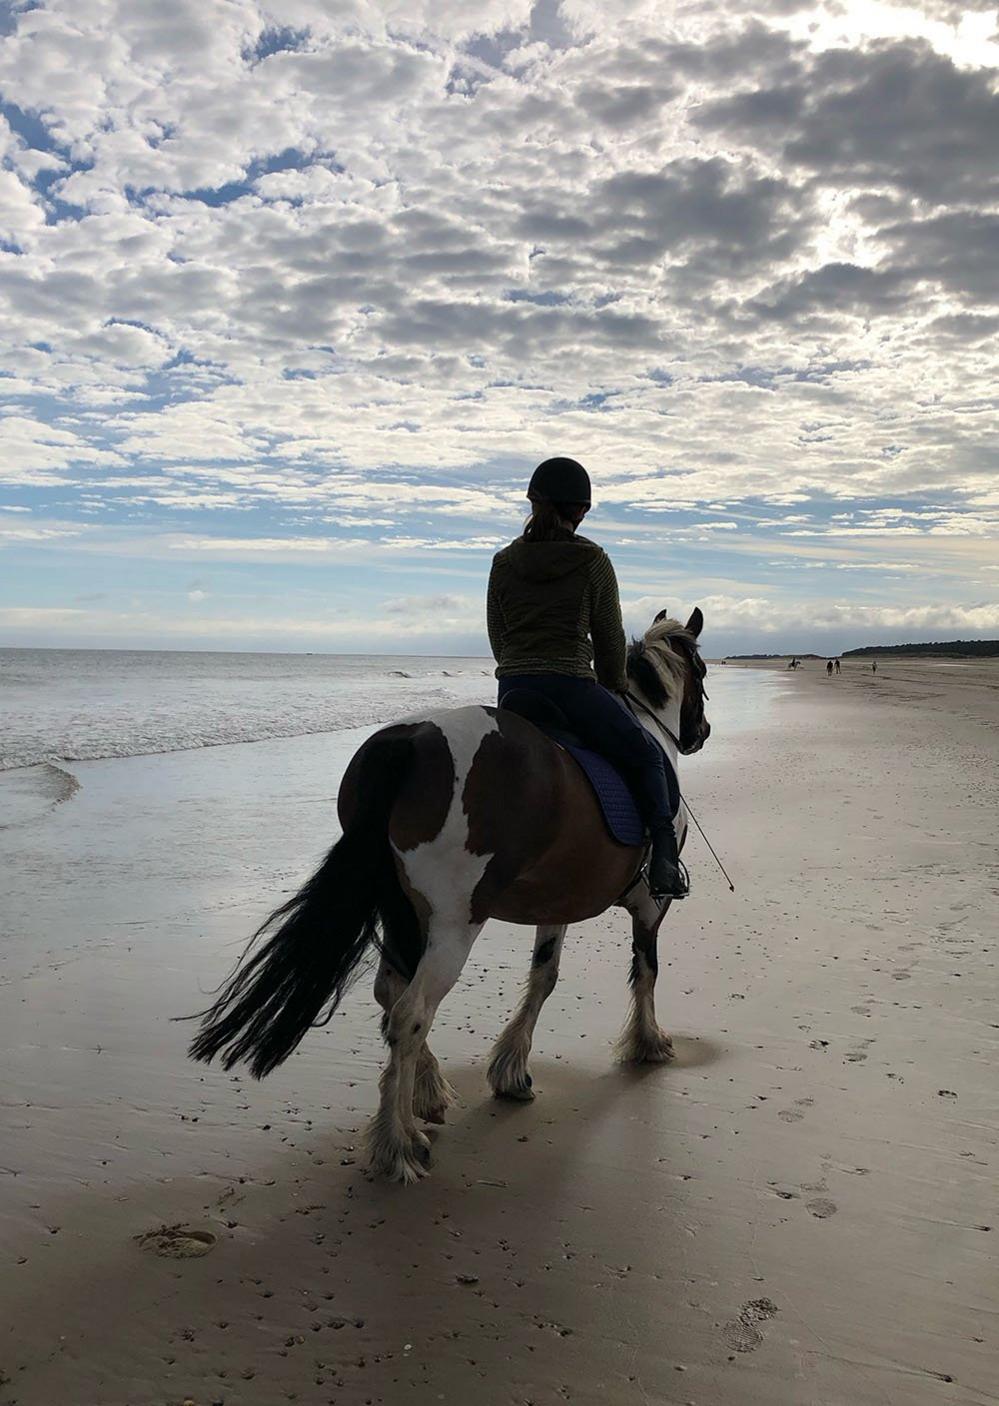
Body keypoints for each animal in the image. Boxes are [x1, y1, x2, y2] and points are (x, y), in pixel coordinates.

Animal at [189, 610, 710, 1181]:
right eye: (702, 670)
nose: (701, 733)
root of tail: (411, 742)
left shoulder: (557, 903)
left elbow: (544, 978)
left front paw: (512, 1070)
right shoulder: (650, 905)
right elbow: (646, 970)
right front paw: (648, 1043)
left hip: (403, 911)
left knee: (391, 995)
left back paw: (426, 1095)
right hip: (454, 923)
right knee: (411, 1012)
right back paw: (398, 1144)